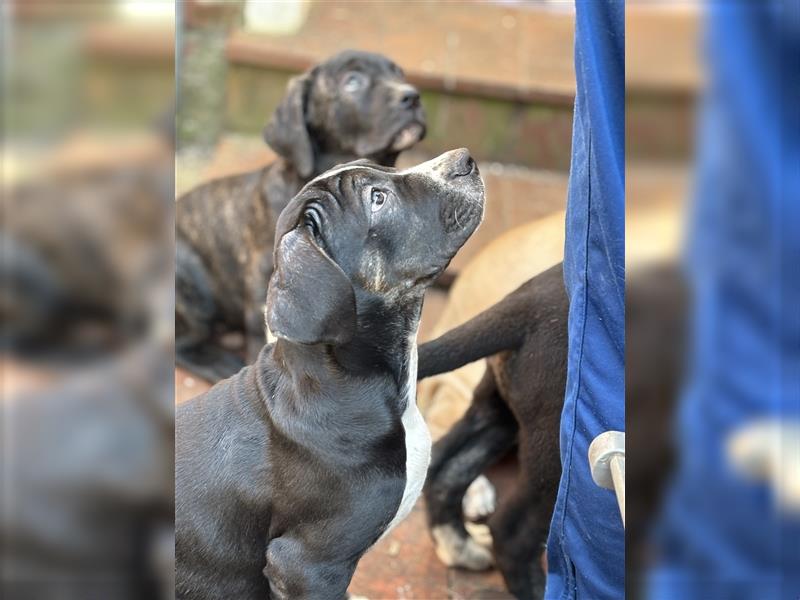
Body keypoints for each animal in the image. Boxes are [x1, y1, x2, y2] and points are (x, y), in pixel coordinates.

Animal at [418, 264, 568, 600]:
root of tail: (525, 305)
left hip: (497, 413)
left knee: (444, 471)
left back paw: (459, 548)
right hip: (554, 453)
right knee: (511, 533)